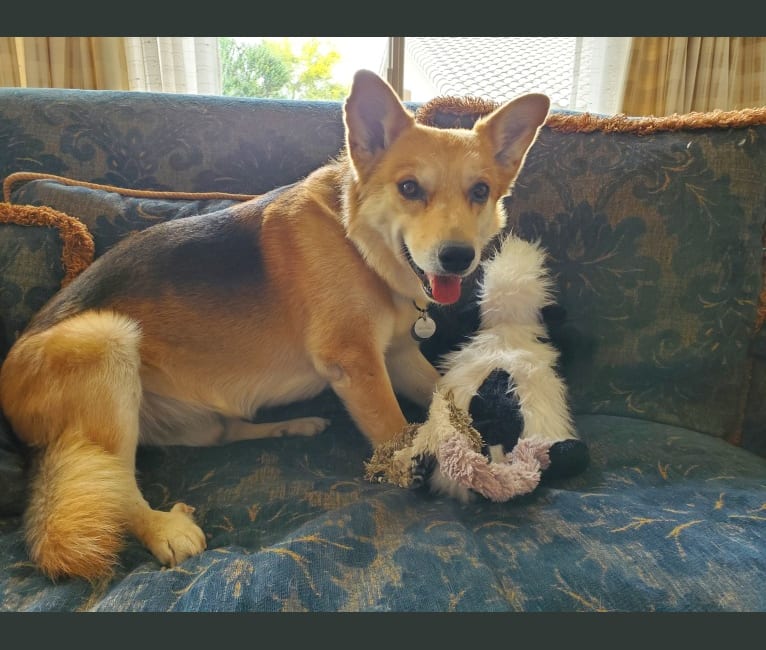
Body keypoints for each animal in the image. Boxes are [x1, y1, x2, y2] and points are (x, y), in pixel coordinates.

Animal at [0, 69, 552, 576]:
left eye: (480, 191)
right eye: (410, 188)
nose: (458, 258)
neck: (354, 240)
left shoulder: (397, 354)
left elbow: (445, 394)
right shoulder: (359, 364)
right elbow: (397, 431)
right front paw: (430, 472)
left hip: (189, 416)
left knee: (221, 432)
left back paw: (292, 427)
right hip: (107, 341)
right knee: (114, 482)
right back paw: (160, 527)